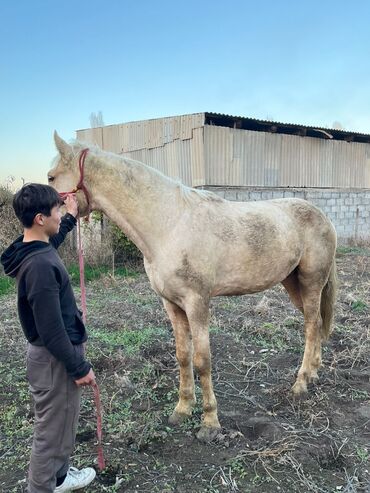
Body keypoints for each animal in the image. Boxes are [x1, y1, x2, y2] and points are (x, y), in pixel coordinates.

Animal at [49, 132, 338, 442]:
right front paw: (183, 408)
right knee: (315, 323)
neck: (169, 224)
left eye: (51, 177)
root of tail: (323, 216)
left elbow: (202, 360)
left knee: (311, 326)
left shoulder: (197, 302)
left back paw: (301, 383)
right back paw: (313, 373)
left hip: (311, 282)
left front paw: (209, 422)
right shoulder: (172, 304)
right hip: (293, 283)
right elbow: (182, 356)